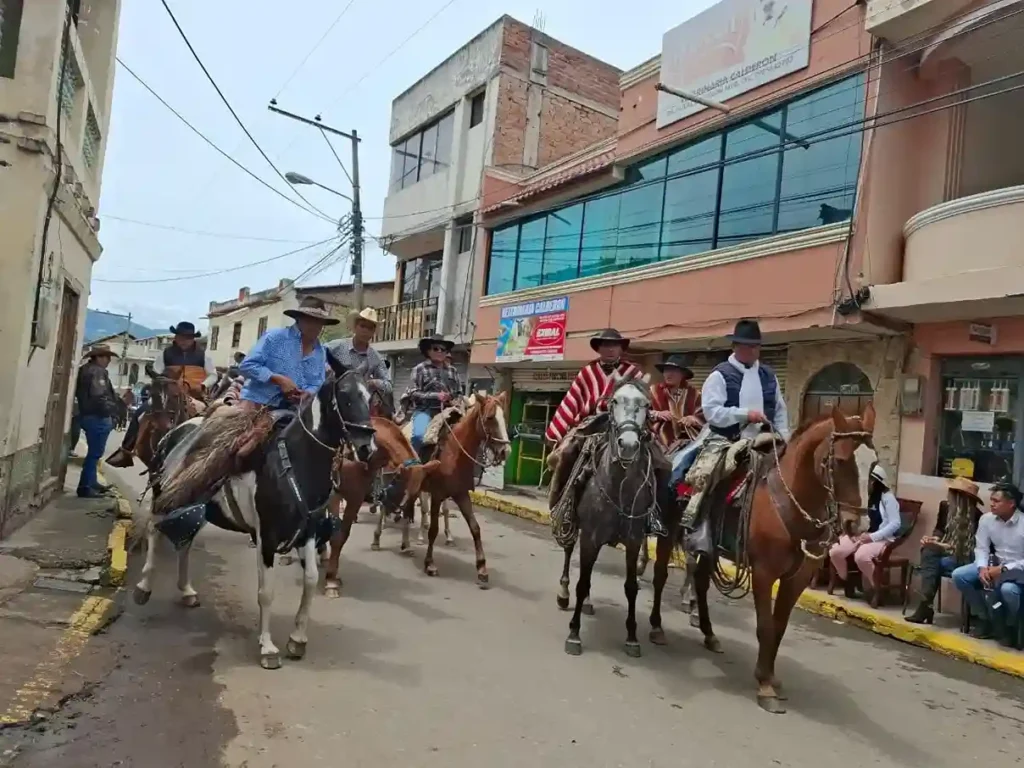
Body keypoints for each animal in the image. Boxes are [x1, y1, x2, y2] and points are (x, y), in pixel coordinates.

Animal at [321, 417, 438, 598]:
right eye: (401, 480)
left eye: (416, 488)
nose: (397, 509)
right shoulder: (337, 495)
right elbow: (337, 535)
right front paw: (331, 581)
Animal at [417, 393, 509, 585]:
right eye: (490, 418)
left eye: (503, 417)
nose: (506, 451)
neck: (453, 453)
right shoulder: (437, 495)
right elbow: (433, 530)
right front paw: (430, 564)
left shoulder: (461, 494)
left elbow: (475, 528)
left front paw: (481, 567)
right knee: (421, 509)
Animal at [561, 374, 655, 663]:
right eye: (614, 401)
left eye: (646, 404)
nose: (628, 445)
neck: (619, 488)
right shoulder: (589, 537)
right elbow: (582, 583)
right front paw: (574, 633)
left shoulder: (634, 541)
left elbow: (631, 587)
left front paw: (632, 637)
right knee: (569, 554)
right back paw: (563, 593)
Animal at [647, 403, 872, 716]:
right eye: (838, 461)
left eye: (874, 465)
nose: (857, 525)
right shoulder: (765, 573)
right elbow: (765, 626)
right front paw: (764, 685)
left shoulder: (797, 579)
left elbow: (779, 627)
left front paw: (772, 677)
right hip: (667, 532)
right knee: (660, 576)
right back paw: (656, 628)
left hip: (705, 546)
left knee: (701, 584)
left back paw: (709, 634)